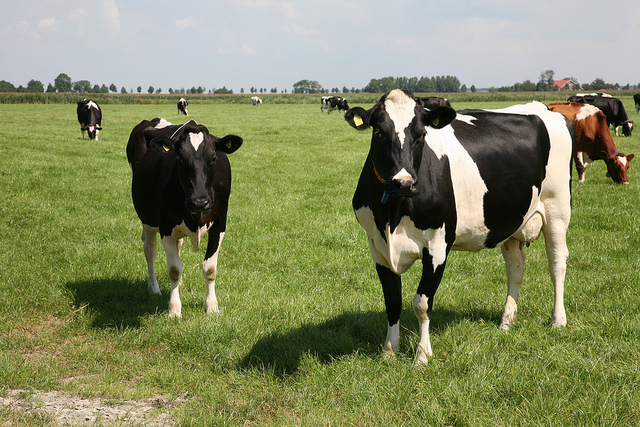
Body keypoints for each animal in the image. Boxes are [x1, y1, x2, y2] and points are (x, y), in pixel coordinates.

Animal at [126, 118, 243, 318]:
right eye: (180, 159)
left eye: (213, 158)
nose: (200, 201)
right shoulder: (166, 225)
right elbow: (174, 269)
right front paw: (174, 310)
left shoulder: (220, 223)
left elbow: (210, 268)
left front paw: (212, 307)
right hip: (148, 220)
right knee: (150, 251)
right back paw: (154, 288)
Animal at [345, 90, 573, 366]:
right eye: (378, 132)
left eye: (421, 135)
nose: (404, 183)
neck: (393, 214)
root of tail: (543, 107)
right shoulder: (377, 246)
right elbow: (392, 301)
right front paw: (390, 351)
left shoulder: (437, 245)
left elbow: (422, 303)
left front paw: (422, 356)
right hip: (512, 219)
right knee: (515, 268)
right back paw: (506, 322)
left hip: (558, 208)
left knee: (557, 263)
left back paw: (558, 320)